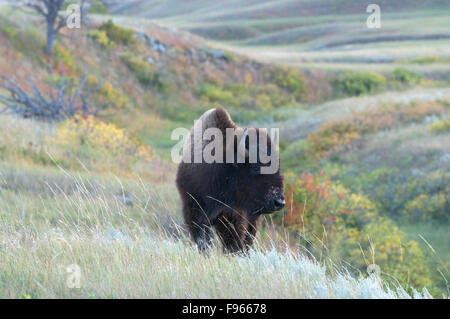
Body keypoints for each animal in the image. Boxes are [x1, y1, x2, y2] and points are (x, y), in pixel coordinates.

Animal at [176, 107, 284, 255]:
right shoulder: (193, 212)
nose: (279, 202)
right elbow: (203, 241)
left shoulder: (233, 216)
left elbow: (233, 243)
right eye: (255, 167)